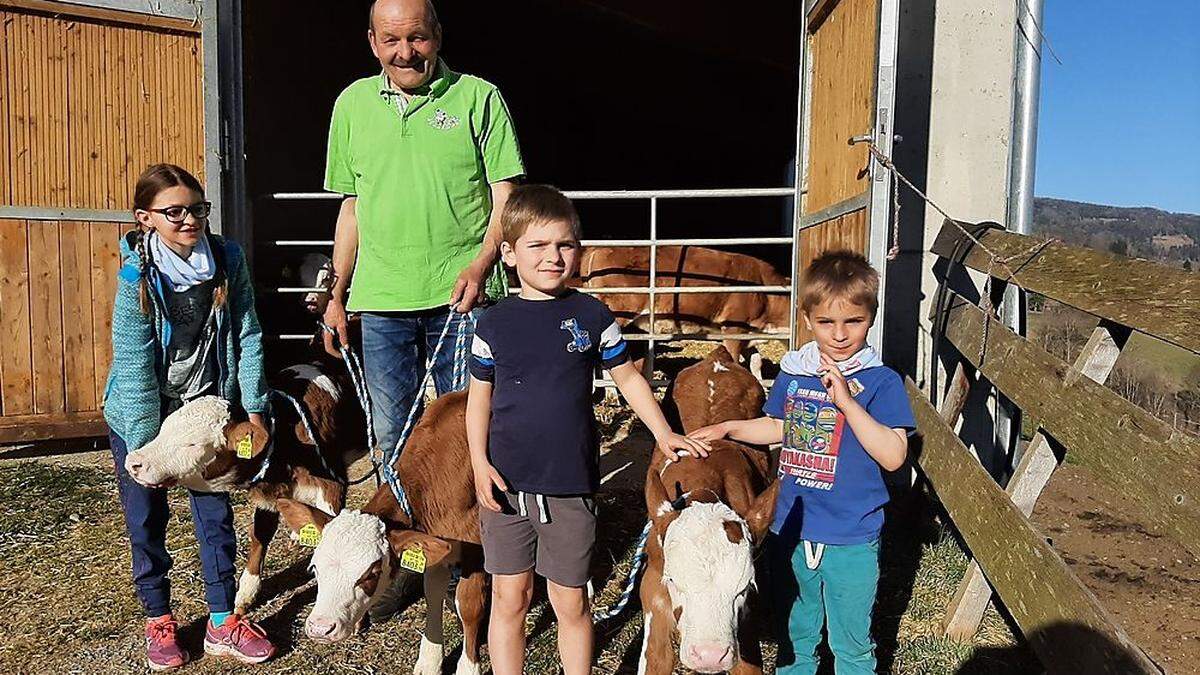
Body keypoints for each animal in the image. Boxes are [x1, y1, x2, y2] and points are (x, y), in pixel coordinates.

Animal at [284, 389, 487, 672]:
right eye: (314, 568)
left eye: (372, 573)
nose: (320, 628)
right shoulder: (437, 543)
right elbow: (432, 592)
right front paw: (430, 661)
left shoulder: (476, 547)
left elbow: (469, 605)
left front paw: (468, 668)